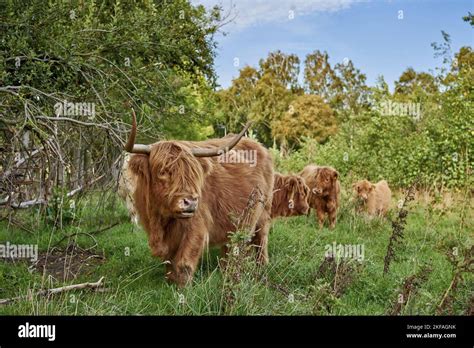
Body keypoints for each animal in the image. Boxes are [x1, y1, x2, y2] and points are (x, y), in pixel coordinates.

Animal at [124, 110, 274, 286]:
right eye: (162, 171)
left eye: (193, 173)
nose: (190, 202)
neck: (161, 219)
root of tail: (259, 146)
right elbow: (169, 263)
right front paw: (169, 283)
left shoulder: (197, 228)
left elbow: (184, 264)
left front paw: (182, 288)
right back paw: (226, 270)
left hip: (264, 212)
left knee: (261, 239)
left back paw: (261, 267)